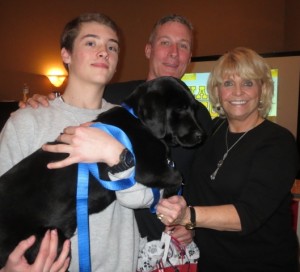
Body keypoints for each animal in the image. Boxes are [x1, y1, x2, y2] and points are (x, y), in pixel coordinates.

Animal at [0, 75, 205, 266]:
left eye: (194, 108)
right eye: (180, 108)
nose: (201, 135)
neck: (138, 119)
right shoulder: (146, 169)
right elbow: (177, 176)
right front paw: (171, 196)